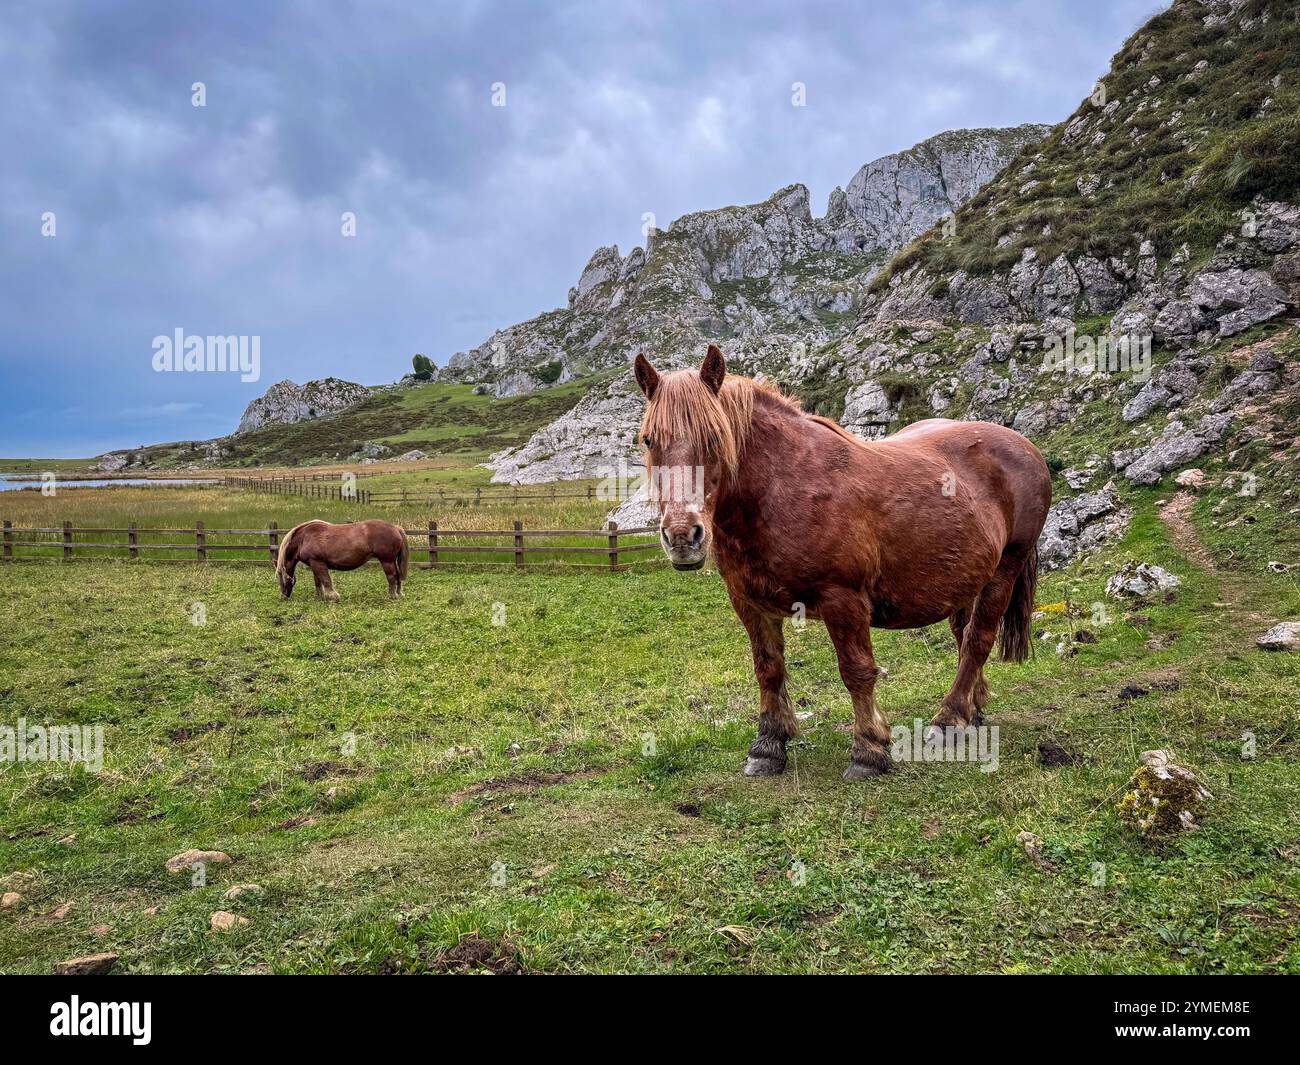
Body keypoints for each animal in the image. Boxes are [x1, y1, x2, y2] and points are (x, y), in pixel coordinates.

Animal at [275, 519, 409, 601]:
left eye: (281, 577)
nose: (283, 597)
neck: (304, 538)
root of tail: (396, 528)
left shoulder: (318, 563)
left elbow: (326, 580)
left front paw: (333, 596)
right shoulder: (314, 564)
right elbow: (318, 582)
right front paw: (320, 596)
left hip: (387, 561)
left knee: (392, 577)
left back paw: (392, 596)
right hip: (392, 561)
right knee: (397, 576)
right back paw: (399, 594)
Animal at [634, 345, 1052, 781]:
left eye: (715, 436)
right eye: (649, 440)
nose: (683, 536)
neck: (782, 487)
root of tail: (1024, 447)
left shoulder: (843, 600)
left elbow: (856, 671)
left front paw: (869, 750)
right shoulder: (749, 603)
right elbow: (768, 668)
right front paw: (768, 745)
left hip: (1003, 572)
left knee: (977, 640)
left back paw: (948, 720)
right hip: (967, 578)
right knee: (963, 635)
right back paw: (973, 709)